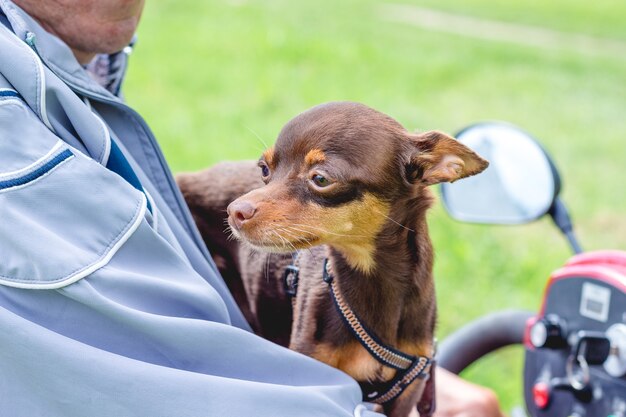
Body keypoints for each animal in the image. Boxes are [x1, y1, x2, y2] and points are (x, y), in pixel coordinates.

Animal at [176, 101, 488, 416]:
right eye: (264, 169)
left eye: (321, 179)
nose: (235, 211)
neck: (371, 279)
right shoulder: (317, 376)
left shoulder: (406, 396)